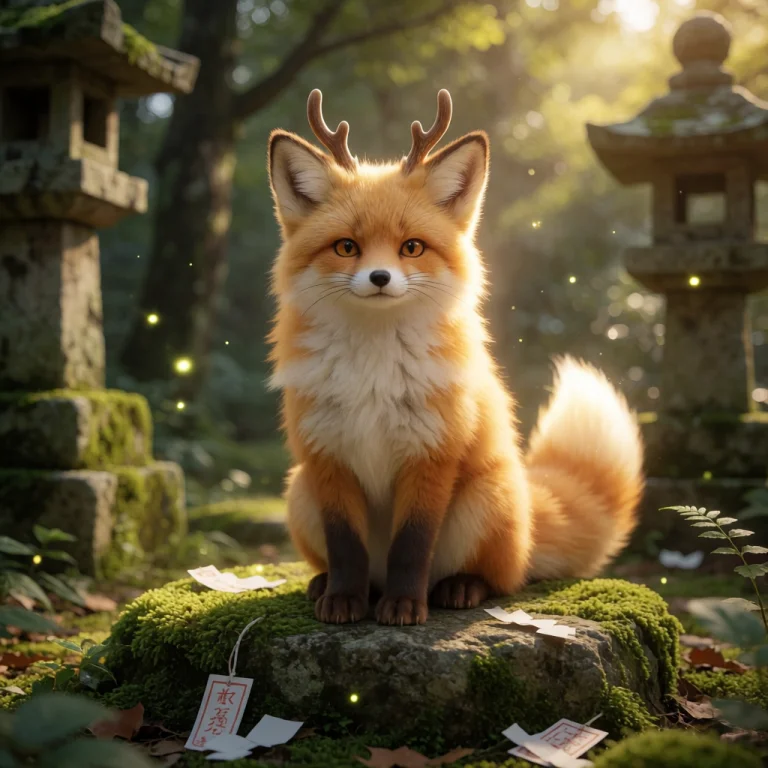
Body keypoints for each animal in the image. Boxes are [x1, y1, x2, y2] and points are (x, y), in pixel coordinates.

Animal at [267, 88, 644, 626]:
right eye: (346, 247)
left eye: (411, 247)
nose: (379, 278)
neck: (374, 375)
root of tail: (530, 515)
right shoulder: (326, 457)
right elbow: (345, 548)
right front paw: (343, 600)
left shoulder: (433, 455)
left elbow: (412, 546)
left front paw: (405, 606)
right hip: (299, 490)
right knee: (361, 567)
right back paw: (332, 587)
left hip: (484, 500)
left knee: (502, 580)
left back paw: (458, 588)